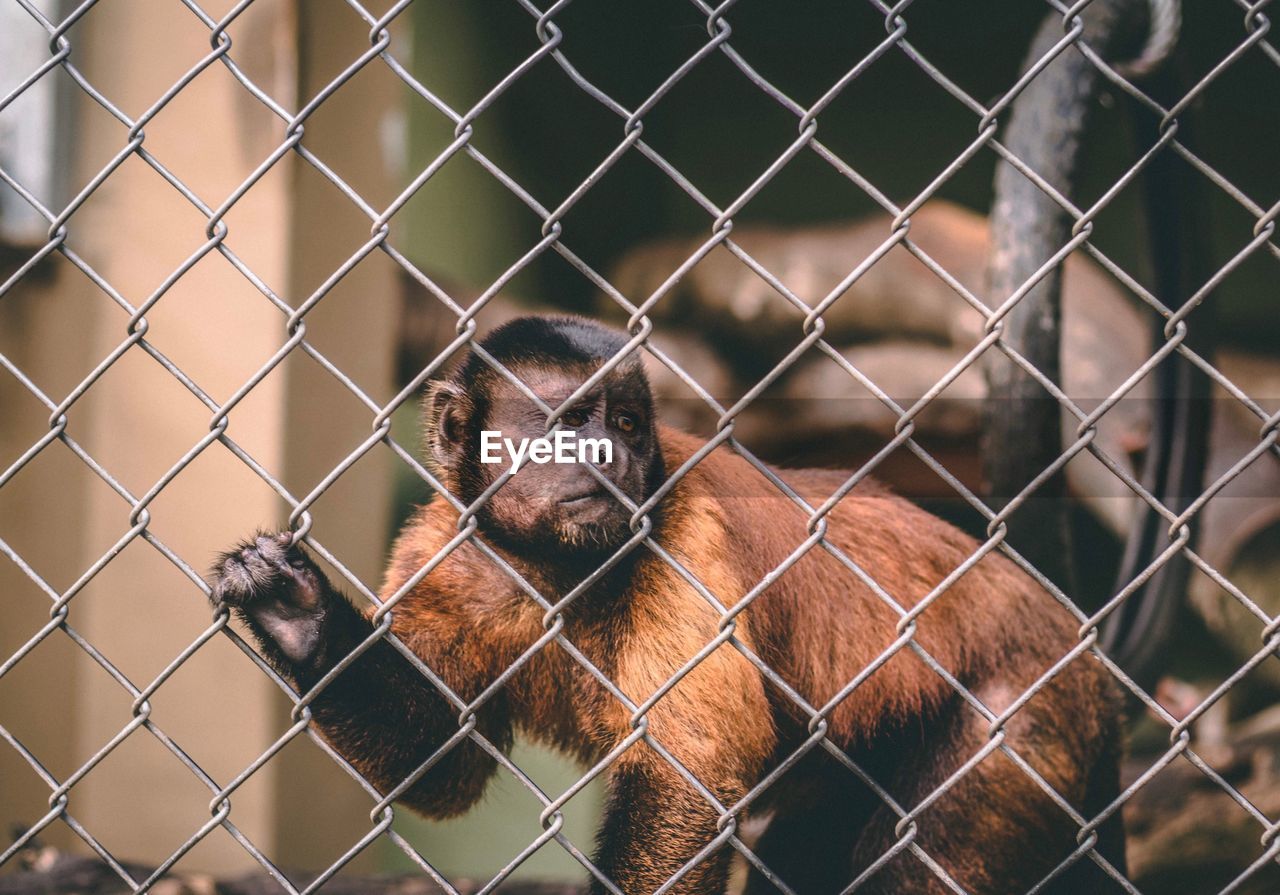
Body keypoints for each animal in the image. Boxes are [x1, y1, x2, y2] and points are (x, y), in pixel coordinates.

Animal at [215, 314, 1126, 895]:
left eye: (623, 422)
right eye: (570, 420)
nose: (608, 456)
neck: (552, 564)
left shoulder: (685, 542)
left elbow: (688, 781)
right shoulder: (442, 547)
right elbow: (447, 766)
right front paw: (300, 619)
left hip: (1025, 706)